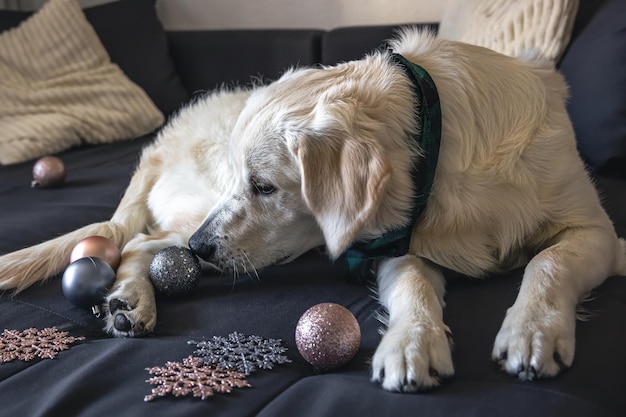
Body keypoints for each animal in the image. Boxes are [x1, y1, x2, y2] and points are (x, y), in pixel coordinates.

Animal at [1, 28, 624, 390]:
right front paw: (411, 343)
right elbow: (413, 290)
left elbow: (547, 263)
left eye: (265, 187)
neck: (443, 150)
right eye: (249, 182)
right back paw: (131, 299)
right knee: (136, 242)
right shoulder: (396, 249)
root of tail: (158, 143)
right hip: (197, 214)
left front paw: (531, 330)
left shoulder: (598, 232)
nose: (203, 246)